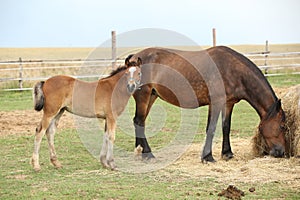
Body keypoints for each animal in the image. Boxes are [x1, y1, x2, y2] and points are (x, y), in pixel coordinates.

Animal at [127, 46, 288, 162]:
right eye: (282, 126)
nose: (281, 152)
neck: (232, 69)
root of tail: (134, 58)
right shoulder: (215, 103)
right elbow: (211, 129)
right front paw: (207, 157)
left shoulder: (228, 103)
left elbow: (226, 127)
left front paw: (227, 153)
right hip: (143, 95)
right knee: (139, 121)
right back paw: (147, 154)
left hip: (152, 96)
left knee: (139, 121)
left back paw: (139, 150)